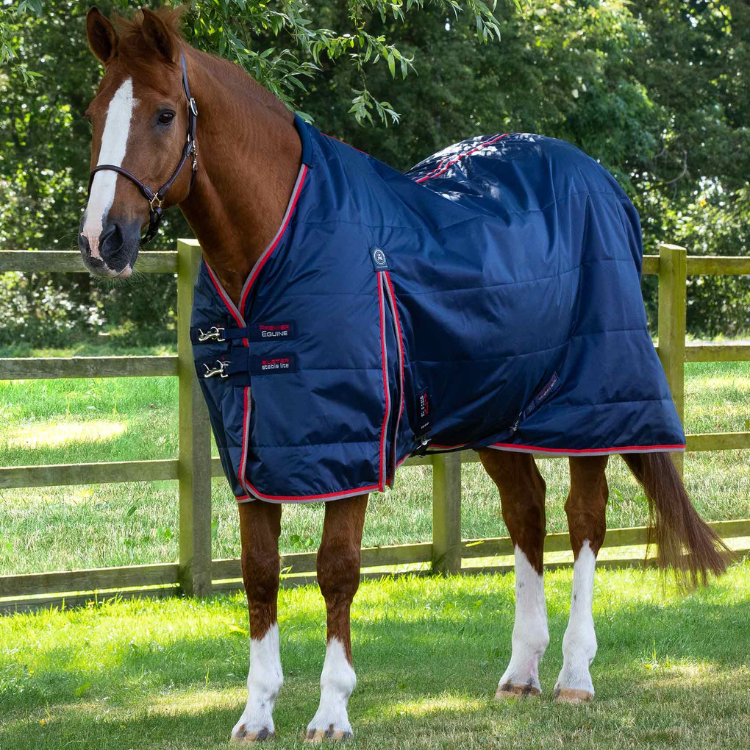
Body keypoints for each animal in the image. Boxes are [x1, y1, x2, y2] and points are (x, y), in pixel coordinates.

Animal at [78, 7, 728, 742]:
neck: (278, 244)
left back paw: (573, 675)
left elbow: (336, 571)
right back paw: (521, 673)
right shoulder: (253, 451)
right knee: (526, 512)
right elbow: (259, 573)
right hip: (496, 410)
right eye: (96, 111)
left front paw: (332, 711)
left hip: (591, 408)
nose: (103, 241)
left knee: (584, 518)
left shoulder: (351, 446)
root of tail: (605, 185)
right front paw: (256, 713)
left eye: (164, 114)